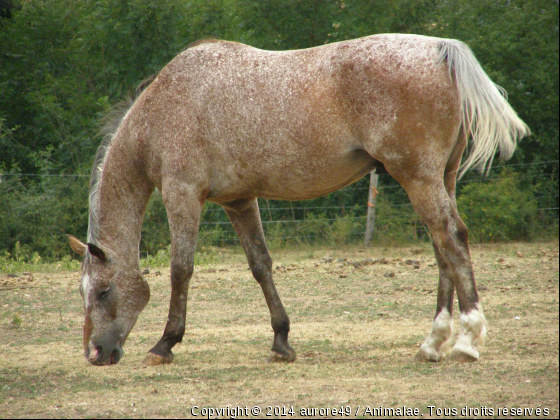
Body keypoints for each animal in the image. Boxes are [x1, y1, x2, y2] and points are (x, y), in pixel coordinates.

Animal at [68, 34, 528, 366]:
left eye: (103, 292)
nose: (95, 353)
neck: (162, 110)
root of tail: (440, 50)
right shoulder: (239, 200)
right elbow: (261, 265)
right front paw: (281, 340)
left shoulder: (183, 196)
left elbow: (181, 269)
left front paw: (165, 344)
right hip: (440, 179)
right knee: (442, 247)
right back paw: (433, 343)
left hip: (419, 178)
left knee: (451, 238)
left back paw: (466, 339)